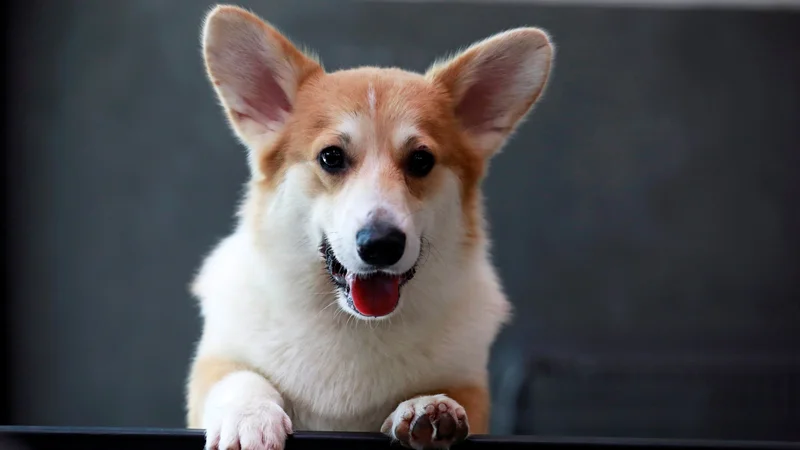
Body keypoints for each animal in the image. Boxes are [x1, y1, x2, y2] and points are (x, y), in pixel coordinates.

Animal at [184, 4, 552, 450]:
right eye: (331, 157)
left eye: (421, 160)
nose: (381, 245)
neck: (352, 324)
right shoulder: (217, 363)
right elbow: (240, 378)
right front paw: (248, 417)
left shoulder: (471, 388)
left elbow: (447, 395)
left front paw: (429, 408)